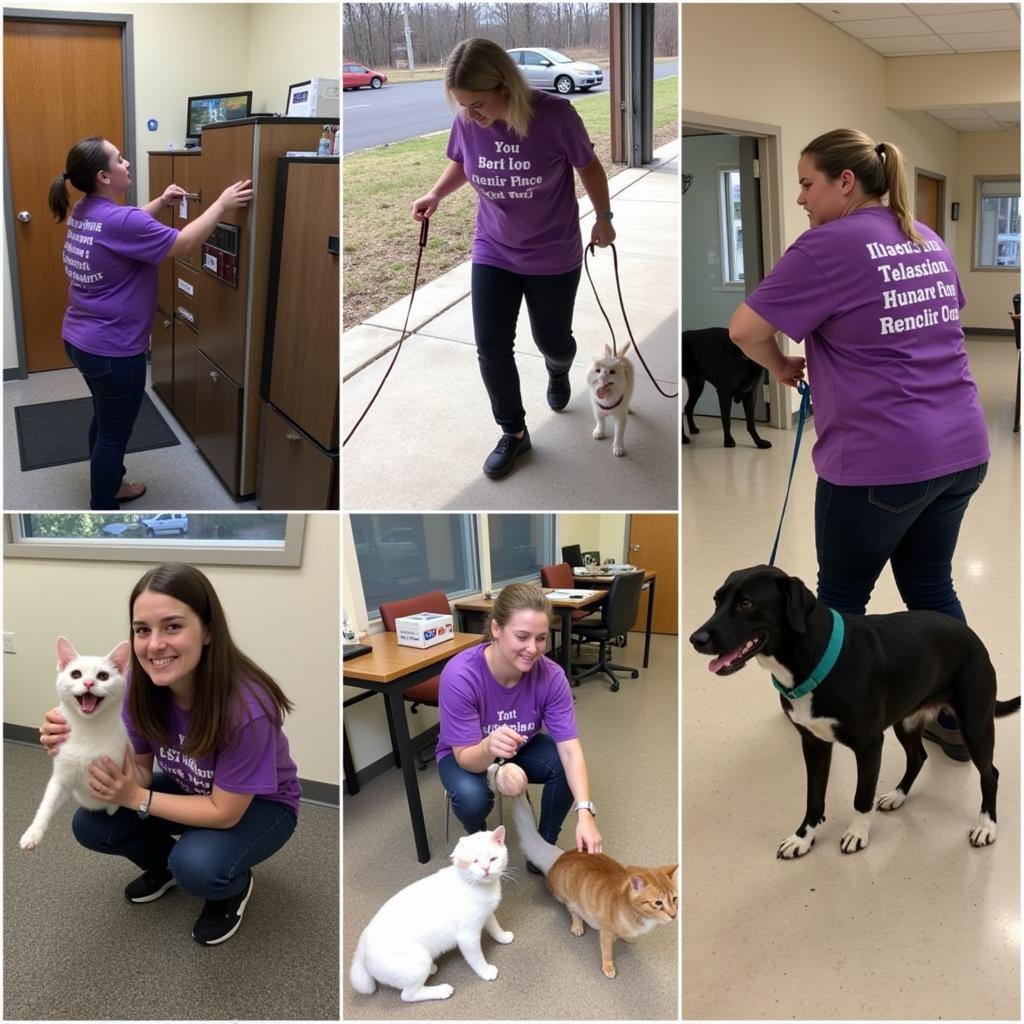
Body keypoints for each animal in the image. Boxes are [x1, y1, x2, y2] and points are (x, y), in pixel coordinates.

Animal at [19, 634, 132, 851]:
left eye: (103, 676)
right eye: (76, 674)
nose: (88, 682)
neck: (88, 729)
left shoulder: (118, 762)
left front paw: (113, 806)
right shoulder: (61, 778)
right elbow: (46, 805)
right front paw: (33, 833)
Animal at [350, 823, 512, 999]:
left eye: (493, 859)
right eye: (475, 861)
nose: (486, 869)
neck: (477, 886)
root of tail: (361, 949)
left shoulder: (487, 914)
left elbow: (495, 928)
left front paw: (503, 937)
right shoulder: (467, 937)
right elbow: (477, 960)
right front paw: (486, 971)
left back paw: (433, 969)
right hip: (418, 961)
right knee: (408, 995)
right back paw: (442, 990)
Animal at [507, 790, 675, 974]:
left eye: (675, 899)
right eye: (658, 903)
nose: (674, 915)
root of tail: (562, 855)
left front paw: (628, 938)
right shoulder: (606, 932)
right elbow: (607, 951)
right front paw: (608, 967)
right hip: (569, 898)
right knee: (573, 911)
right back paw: (577, 926)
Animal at [692, 565, 1019, 860]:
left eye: (746, 603)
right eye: (716, 601)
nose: (695, 639)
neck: (815, 660)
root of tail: (974, 638)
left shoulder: (869, 745)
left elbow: (862, 796)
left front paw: (857, 834)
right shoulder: (814, 743)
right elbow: (814, 796)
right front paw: (803, 838)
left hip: (975, 726)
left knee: (990, 774)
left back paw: (986, 826)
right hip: (906, 720)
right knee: (918, 757)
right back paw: (898, 795)